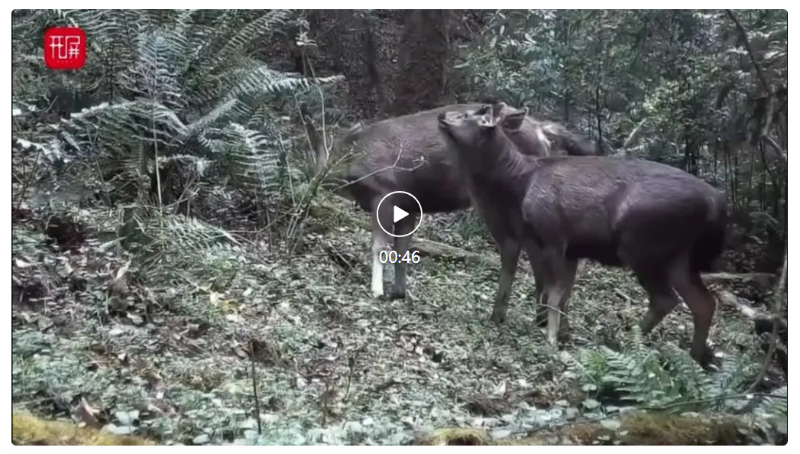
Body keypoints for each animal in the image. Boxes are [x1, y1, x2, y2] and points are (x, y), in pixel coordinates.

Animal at [302, 102, 599, 325]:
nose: (312, 186)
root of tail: (542, 132)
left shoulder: (386, 193)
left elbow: (379, 247)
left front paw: (376, 291)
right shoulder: (410, 206)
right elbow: (402, 249)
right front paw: (399, 292)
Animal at [436, 104, 728, 369]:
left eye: (467, 114)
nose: (441, 115)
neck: (516, 186)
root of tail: (717, 203)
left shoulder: (552, 235)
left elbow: (553, 291)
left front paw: (550, 338)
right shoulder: (563, 248)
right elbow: (559, 291)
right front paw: (557, 332)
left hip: (642, 244)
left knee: (666, 298)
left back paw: (624, 342)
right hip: (679, 255)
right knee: (703, 302)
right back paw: (695, 357)